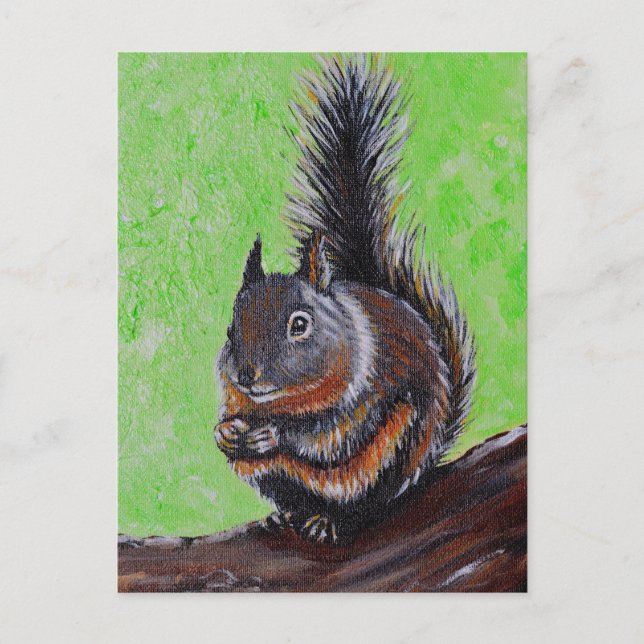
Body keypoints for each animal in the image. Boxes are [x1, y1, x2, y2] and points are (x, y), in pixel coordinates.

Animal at [214, 54, 475, 545]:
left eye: (300, 324)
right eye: (229, 328)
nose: (246, 375)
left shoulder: (363, 396)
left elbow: (326, 437)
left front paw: (273, 436)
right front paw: (225, 434)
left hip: (392, 453)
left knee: (364, 503)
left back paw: (329, 520)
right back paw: (286, 514)